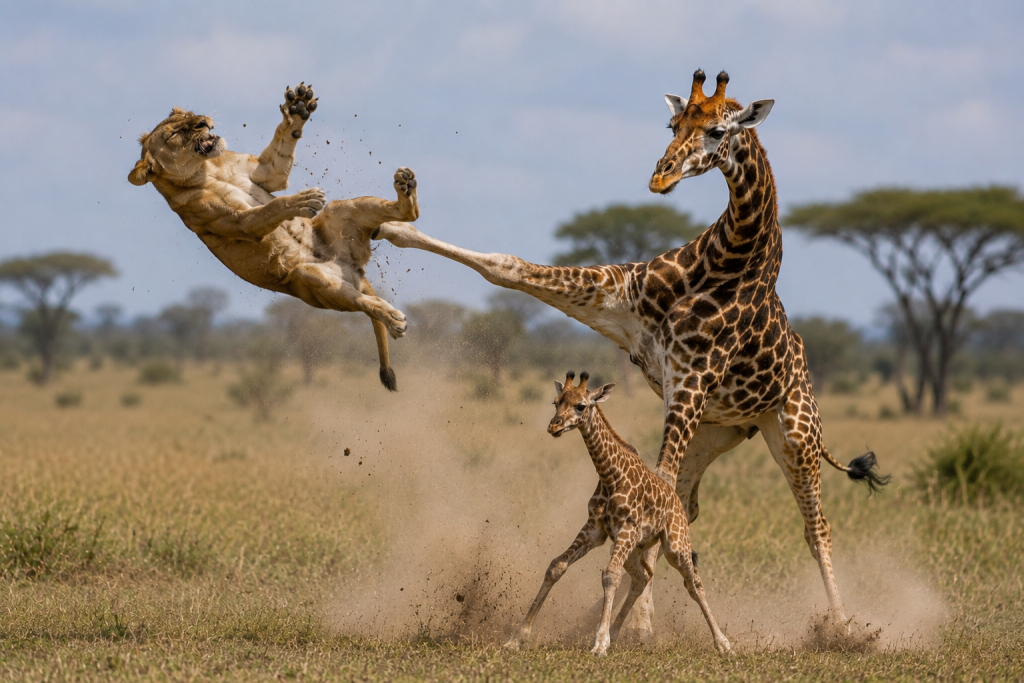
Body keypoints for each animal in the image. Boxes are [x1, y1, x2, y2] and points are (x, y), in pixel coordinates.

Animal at [128, 82, 417, 391]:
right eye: (173, 134)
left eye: (189, 115)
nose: (203, 122)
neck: (207, 170)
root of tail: (354, 270)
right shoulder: (241, 223)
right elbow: (272, 207)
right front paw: (303, 199)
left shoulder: (267, 173)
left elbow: (281, 151)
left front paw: (298, 107)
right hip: (308, 279)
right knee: (364, 302)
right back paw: (393, 319)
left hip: (345, 211)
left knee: (407, 217)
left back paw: (407, 189)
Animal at [505, 371, 731, 656]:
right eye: (556, 402)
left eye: (581, 406)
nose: (554, 427)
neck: (611, 475)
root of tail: (675, 497)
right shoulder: (595, 529)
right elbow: (556, 566)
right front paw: (517, 637)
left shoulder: (626, 527)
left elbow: (610, 575)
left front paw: (600, 643)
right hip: (635, 547)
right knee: (642, 576)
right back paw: (615, 631)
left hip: (674, 544)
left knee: (694, 583)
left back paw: (723, 643)